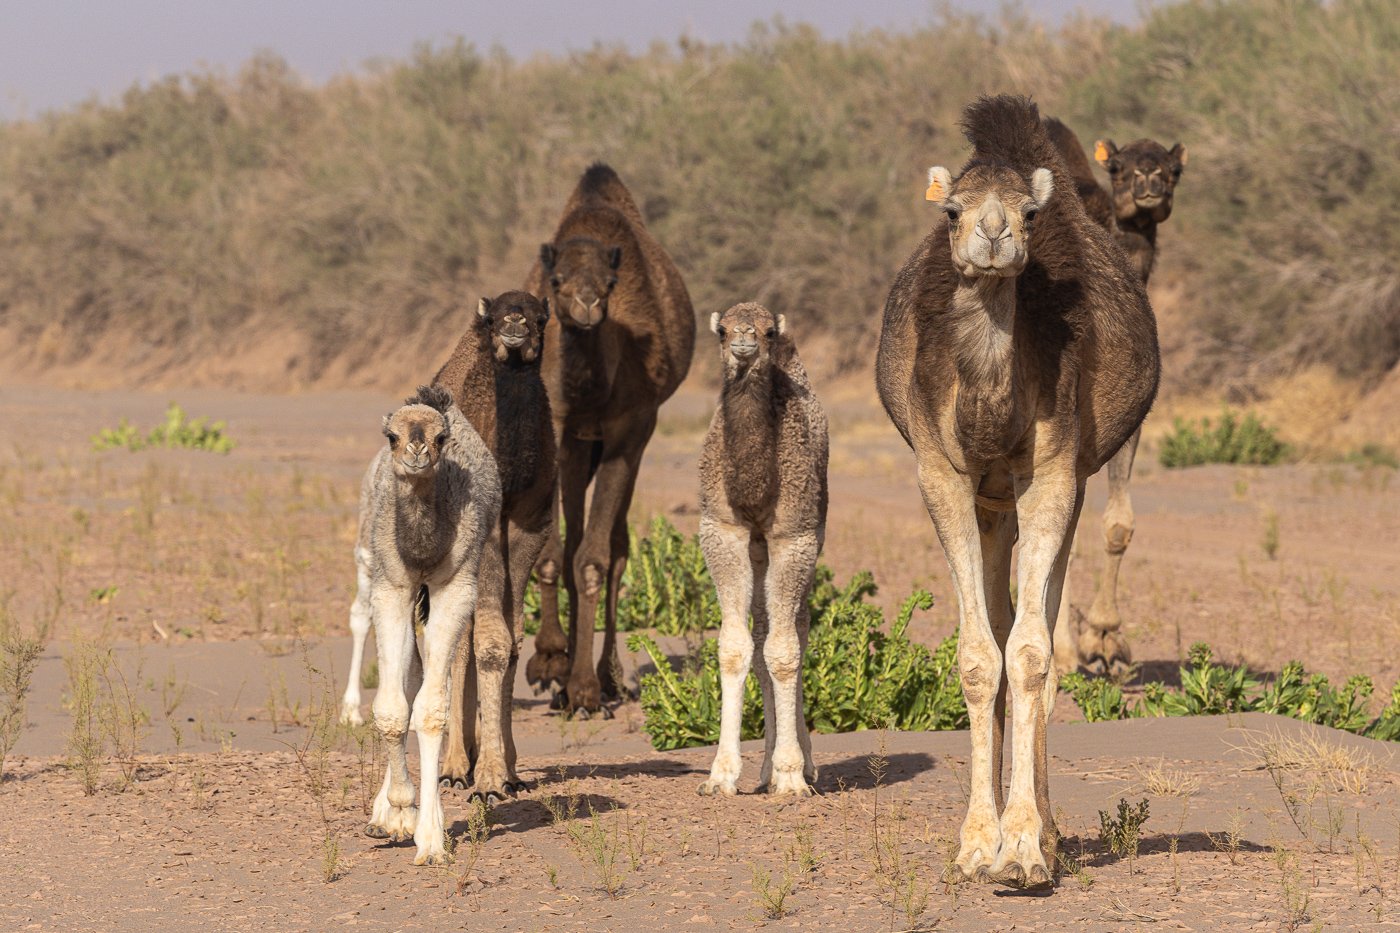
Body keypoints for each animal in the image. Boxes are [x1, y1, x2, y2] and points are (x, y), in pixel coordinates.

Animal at [357, 385, 501, 865]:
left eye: (441, 438)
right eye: (391, 436)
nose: (418, 450)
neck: (422, 549)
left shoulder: (455, 587)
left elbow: (432, 710)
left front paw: (431, 838)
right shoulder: (392, 585)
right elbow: (390, 709)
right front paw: (399, 810)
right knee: (407, 678)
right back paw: (384, 814)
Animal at [523, 163, 695, 716]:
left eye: (611, 281)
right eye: (556, 280)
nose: (587, 303)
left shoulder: (631, 426)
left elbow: (596, 559)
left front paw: (581, 687)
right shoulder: (557, 421)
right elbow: (554, 551)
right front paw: (549, 661)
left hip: (624, 440)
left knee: (615, 548)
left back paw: (607, 679)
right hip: (580, 443)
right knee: (576, 538)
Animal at [695, 303, 827, 798]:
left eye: (769, 331)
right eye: (721, 330)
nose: (744, 340)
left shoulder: (795, 536)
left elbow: (785, 652)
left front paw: (792, 776)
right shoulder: (723, 529)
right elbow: (735, 648)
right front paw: (720, 775)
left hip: (814, 531)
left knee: (795, 629)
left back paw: (798, 766)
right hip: (756, 549)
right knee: (762, 630)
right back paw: (766, 768)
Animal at [876, 96, 1158, 887]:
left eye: (1031, 213)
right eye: (952, 211)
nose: (995, 233)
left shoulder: (1056, 469)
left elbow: (1031, 654)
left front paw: (1025, 847)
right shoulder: (941, 472)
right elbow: (980, 657)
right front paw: (977, 843)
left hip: (1053, 488)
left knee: (1036, 634)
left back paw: (1051, 835)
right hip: (990, 501)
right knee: (998, 624)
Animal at [1044, 118, 1187, 673]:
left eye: (1174, 169)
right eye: (1120, 167)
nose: (1149, 180)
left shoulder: (1129, 419)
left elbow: (1118, 524)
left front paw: (1104, 638)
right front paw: (1068, 651)